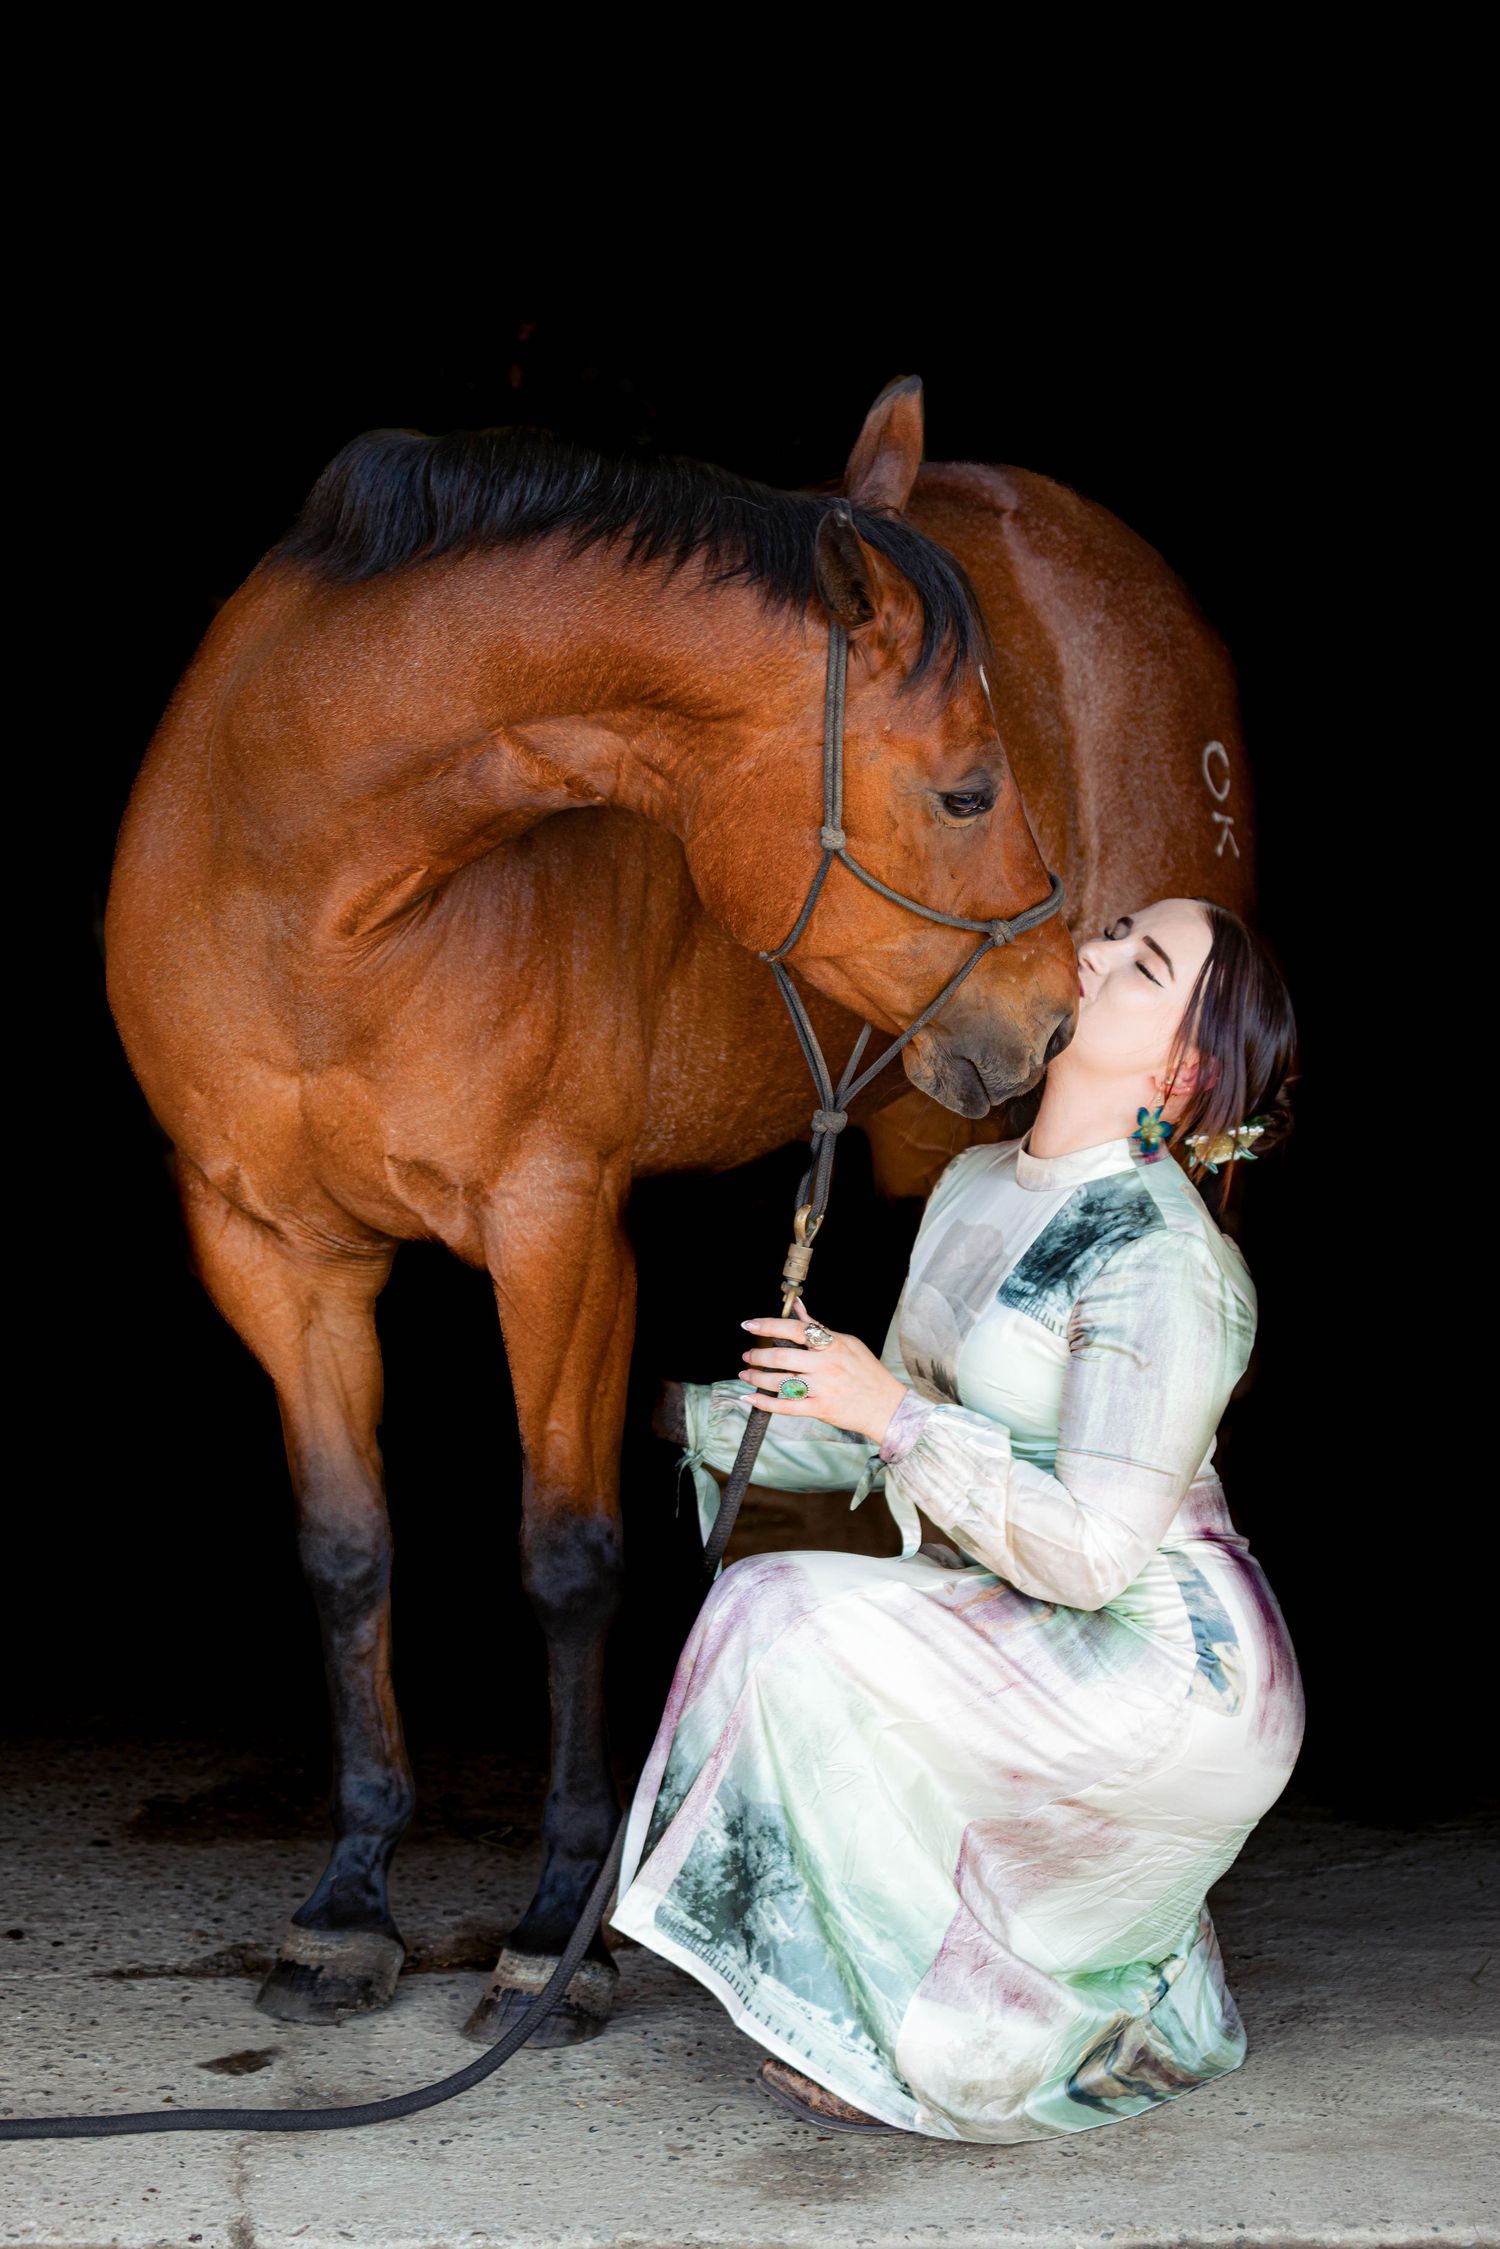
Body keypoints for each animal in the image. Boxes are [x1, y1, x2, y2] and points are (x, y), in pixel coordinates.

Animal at [104, 377, 1250, 2050]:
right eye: (968, 788)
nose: (1052, 1019)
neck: (303, 887)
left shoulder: (560, 1234)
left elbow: (568, 1554)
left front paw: (549, 1933)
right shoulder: (273, 1258)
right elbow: (347, 1553)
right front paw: (350, 1900)